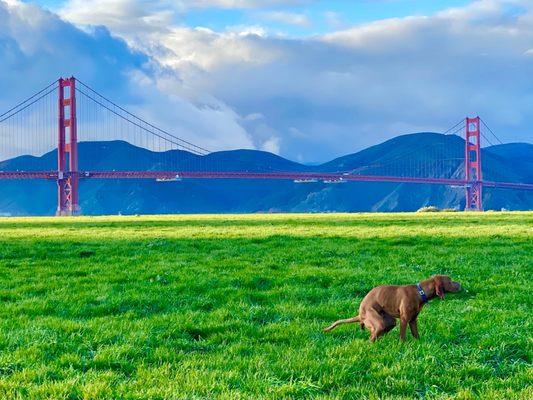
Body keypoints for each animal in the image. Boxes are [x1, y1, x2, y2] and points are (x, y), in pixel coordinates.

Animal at [322, 276, 460, 342]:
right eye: (450, 280)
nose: (460, 284)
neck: (420, 292)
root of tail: (360, 314)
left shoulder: (413, 320)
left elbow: (416, 334)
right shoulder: (404, 319)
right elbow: (402, 336)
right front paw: (403, 345)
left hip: (389, 321)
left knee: (376, 334)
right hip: (378, 321)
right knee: (371, 338)